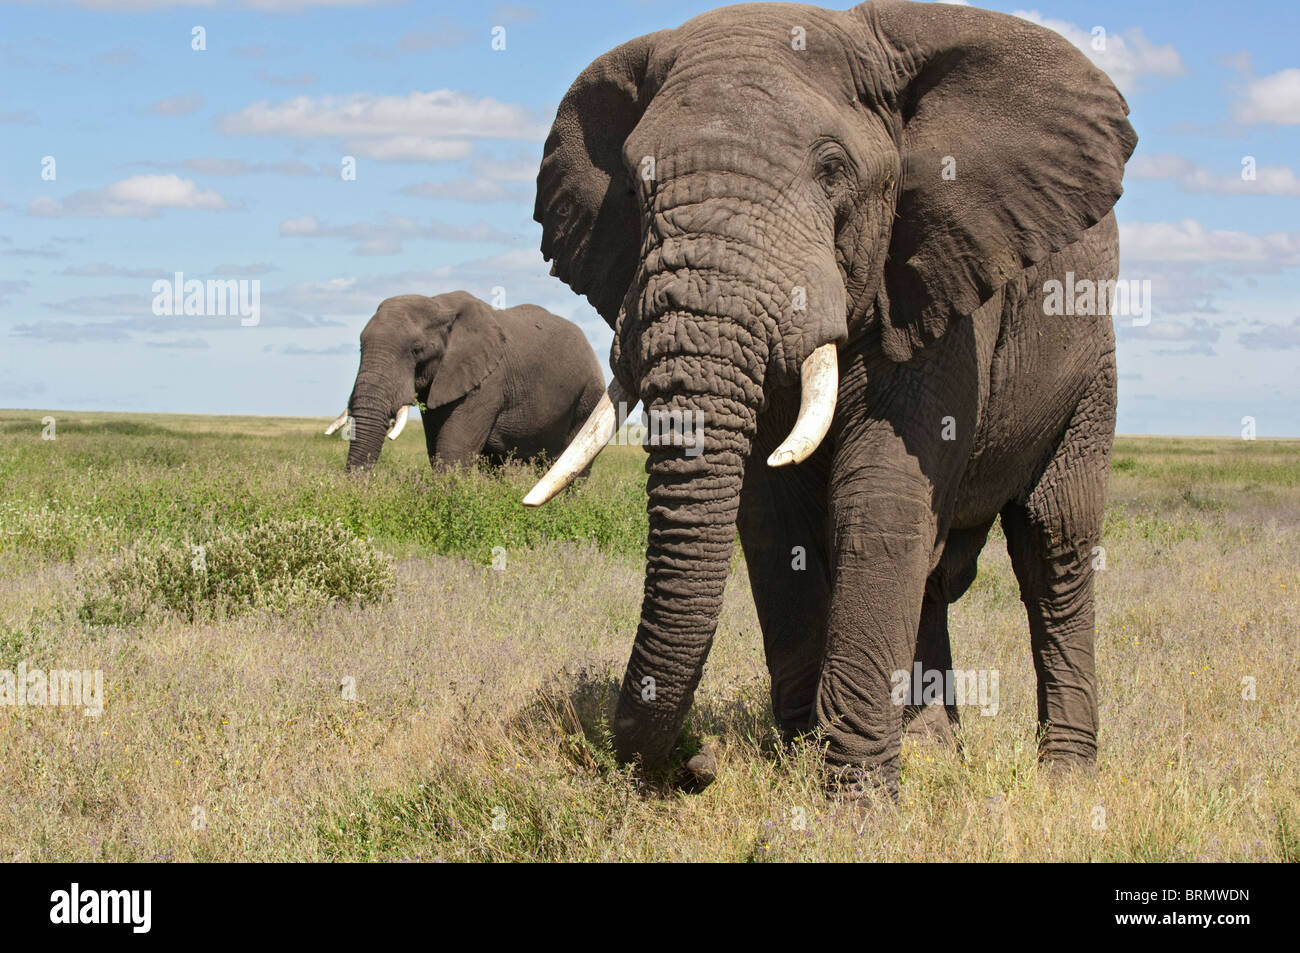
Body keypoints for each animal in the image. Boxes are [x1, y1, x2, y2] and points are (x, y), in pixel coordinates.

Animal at [327, 288, 605, 470]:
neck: (440, 306)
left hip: (589, 396)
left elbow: (453, 450)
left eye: (417, 350)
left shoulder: (487, 383)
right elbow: (436, 449)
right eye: (360, 348)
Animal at [525, 1, 1138, 795]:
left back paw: (1065, 780)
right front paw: (798, 757)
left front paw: (855, 802)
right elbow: (771, 513)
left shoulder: (940, 278)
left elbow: (878, 497)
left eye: (832, 170)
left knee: (1054, 542)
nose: (698, 758)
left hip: (1091, 362)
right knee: (938, 567)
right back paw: (934, 747)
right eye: (632, 184)